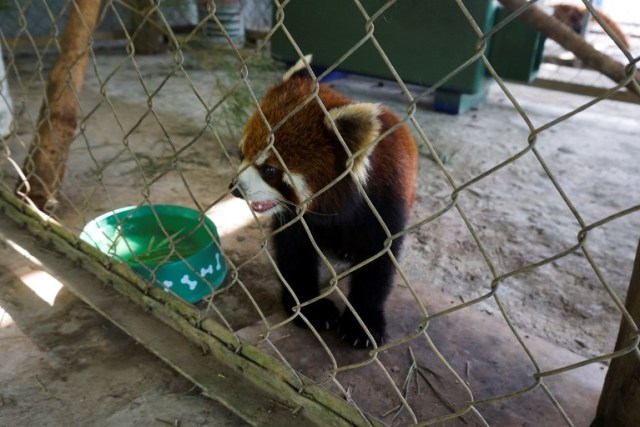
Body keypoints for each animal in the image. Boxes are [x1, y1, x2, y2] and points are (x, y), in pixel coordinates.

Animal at [230, 56, 420, 350]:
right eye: (242, 154)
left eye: (270, 170)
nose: (235, 189)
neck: (338, 205)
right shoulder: (297, 218)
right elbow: (294, 254)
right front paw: (309, 308)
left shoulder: (385, 204)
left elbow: (378, 264)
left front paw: (364, 323)